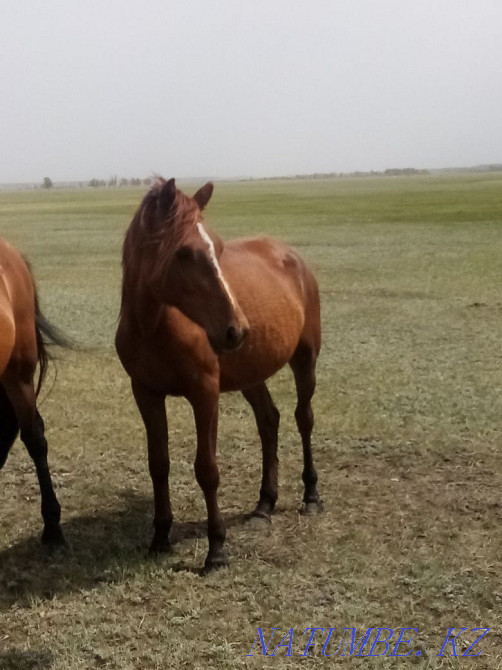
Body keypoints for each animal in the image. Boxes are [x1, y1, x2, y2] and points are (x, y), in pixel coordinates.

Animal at [116, 178, 322, 571]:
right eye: (183, 253)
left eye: (220, 247)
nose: (236, 330)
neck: (155, 326)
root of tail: (292, 256)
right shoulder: (145, 392)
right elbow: (158, 464)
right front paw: (160, 536)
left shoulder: (205, 393)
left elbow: (207, 469)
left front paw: (216, 548)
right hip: (251, 374)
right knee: (269, 420)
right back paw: (264, 504)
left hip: (305, 358)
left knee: (303, 418)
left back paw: (311, 494)